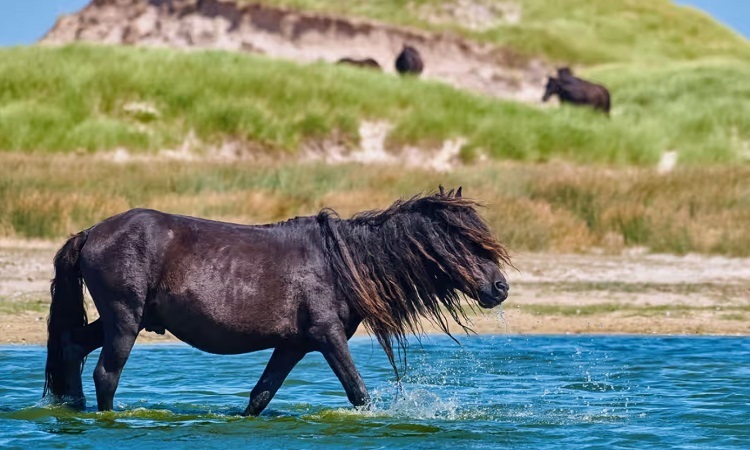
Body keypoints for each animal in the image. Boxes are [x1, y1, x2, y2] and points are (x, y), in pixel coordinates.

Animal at [42, 185, 512, 414]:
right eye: (465, 241)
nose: (500, 287)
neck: (341, 262)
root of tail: (91, 232)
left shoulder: (293, 344)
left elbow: (261, 395)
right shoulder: (326, 336)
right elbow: (358, 393)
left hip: (124, 319)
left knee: (72, 348)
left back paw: (73, 408)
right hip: (124, 318)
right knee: (106, 373)